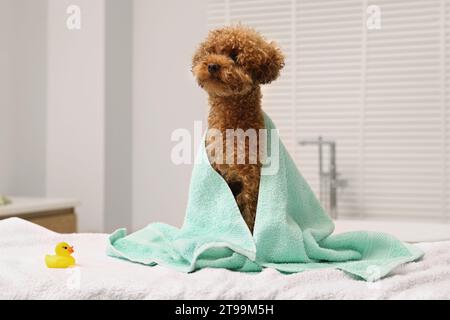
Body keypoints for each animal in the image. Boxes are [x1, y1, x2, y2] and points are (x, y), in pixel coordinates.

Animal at [191, 23, 284, 231]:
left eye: (235, 56)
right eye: (211, 51)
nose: (212, 65)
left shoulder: (250, 178)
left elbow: (249, 216)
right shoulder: (218, 170)